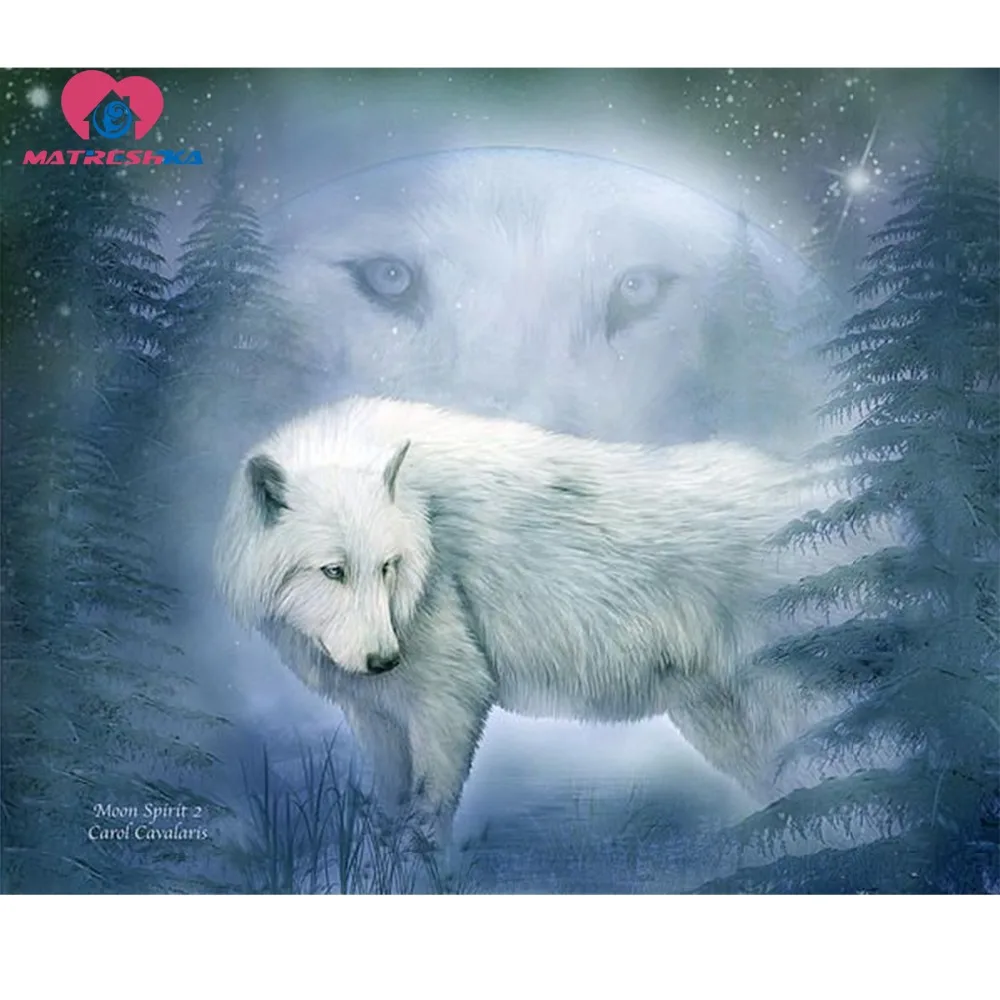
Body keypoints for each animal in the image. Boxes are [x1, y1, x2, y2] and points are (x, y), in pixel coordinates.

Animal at [215, 396, 828, 838]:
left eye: (387, 566)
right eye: (333, 571)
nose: (385, 660)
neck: (425, 520)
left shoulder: (451, 698)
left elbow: (428, 809)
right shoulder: (375, 715)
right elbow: (390, 799)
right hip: (723, 729)